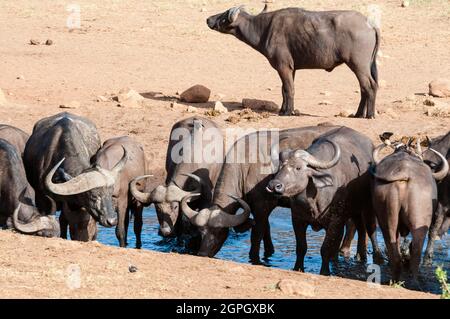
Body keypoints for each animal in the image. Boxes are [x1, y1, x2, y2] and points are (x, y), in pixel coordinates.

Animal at [178, 125, 342, 264]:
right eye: (201, 232)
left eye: (219, 232)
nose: (202, 253)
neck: (245, 166)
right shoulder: (258, 208)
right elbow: (266, 230)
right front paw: (269, 252)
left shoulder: (262, 207)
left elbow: (257, 234)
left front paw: (254, 258)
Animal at [207, 5, 380, 119]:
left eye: (223, 15)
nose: (208, 19)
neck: (264, 28)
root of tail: (369, 24)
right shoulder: (291, 69)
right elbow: (284, 90)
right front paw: (283, 110)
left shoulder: (283, 67)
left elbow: (289, 90)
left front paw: (288, 112)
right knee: (364, 88)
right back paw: (358, 114)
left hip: (358, 65)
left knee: (370, 86)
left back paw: (369, 114)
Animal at [266, 127, 378, 276]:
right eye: (280, 167)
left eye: (298, 167)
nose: (274, 185)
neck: (313, 199)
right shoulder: (297, 219)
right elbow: (301, 247)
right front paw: (298, 268)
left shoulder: (335, 221)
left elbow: (325, 248)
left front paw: (324, 271)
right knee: (358, 228)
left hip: (367, 207)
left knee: (368, 229)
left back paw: (365, 257)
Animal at [370, 140, 448, 282]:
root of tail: (403, 173)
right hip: (419, 221)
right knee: (416, 248)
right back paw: (415, 279)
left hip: (386, 216)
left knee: (392, 246)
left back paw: (395, 278)